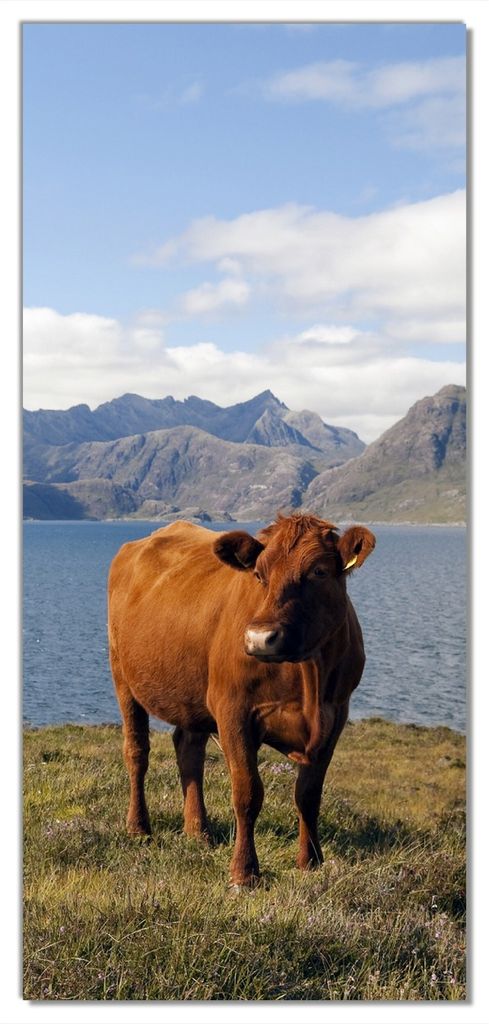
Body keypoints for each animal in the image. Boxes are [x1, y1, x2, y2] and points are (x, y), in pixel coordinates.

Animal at [108, 513, 375, 887]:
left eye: (319, 571)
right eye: (259, 574)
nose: (260, 638)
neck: (307, 677)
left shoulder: (335, 715)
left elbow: (308, 794)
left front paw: (310, 861)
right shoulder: (233, 709)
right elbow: (247, 792)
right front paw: (244, 872)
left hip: (193, 696)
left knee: (189, 750)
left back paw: (198, 831)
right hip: (124, 678)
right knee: (137, 753)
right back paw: (139, 828)